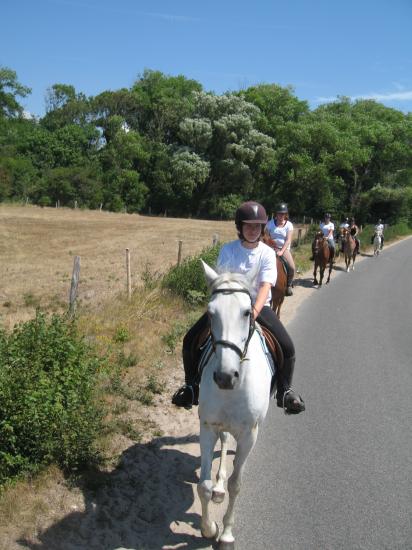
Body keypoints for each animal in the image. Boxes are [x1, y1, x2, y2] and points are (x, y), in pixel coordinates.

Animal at [197, 264, 272, 550]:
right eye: (210, 313)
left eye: (246, 312)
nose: (225, 377)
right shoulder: (207, 427)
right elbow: (204, 486)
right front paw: (209, 528)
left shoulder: (249, 435)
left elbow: (236, 485)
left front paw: (227, 534)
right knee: (225, 439)